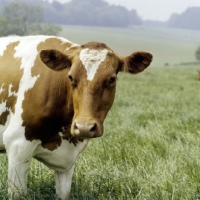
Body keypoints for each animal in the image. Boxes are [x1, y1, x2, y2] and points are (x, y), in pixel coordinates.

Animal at [0, 35, 152, 199]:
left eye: (112, 79)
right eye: (71, 77)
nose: (84, 127)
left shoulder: (68, 159)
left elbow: (64, 193)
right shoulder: (18, 146)